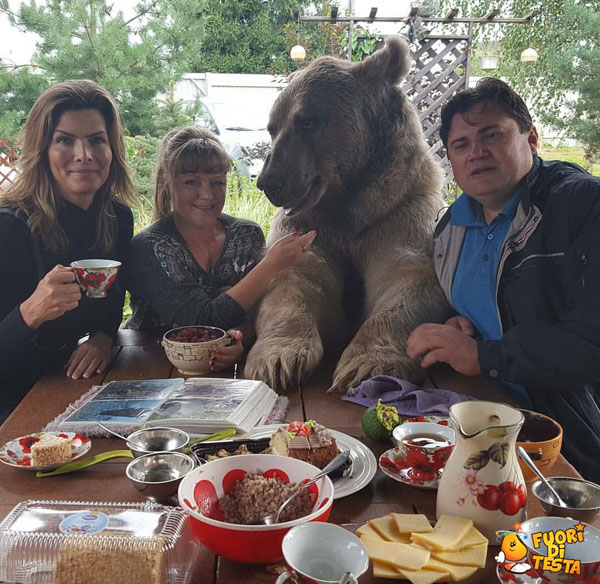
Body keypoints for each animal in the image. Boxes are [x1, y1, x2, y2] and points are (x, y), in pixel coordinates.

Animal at [245, 35, 450, 392]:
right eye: (272, 127)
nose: (269, 181)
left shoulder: (400, 214)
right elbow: (294, 280)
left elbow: (407, 278)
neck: (350, 208)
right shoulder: (309, 227)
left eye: (307, 120)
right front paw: (277, 359)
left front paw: (365, 364)